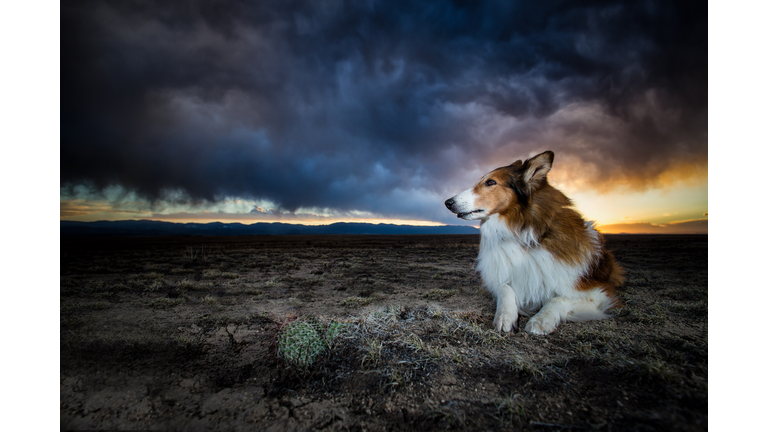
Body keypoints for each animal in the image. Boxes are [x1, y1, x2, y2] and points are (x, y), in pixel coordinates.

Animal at [444, 150, 624, 336]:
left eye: (491, 182)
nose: (448, 202)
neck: (526, 231)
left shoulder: (599, 293)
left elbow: (558, 299)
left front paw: (541, 319)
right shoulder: (499, 278)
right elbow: (505, 288)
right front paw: (505, 315)